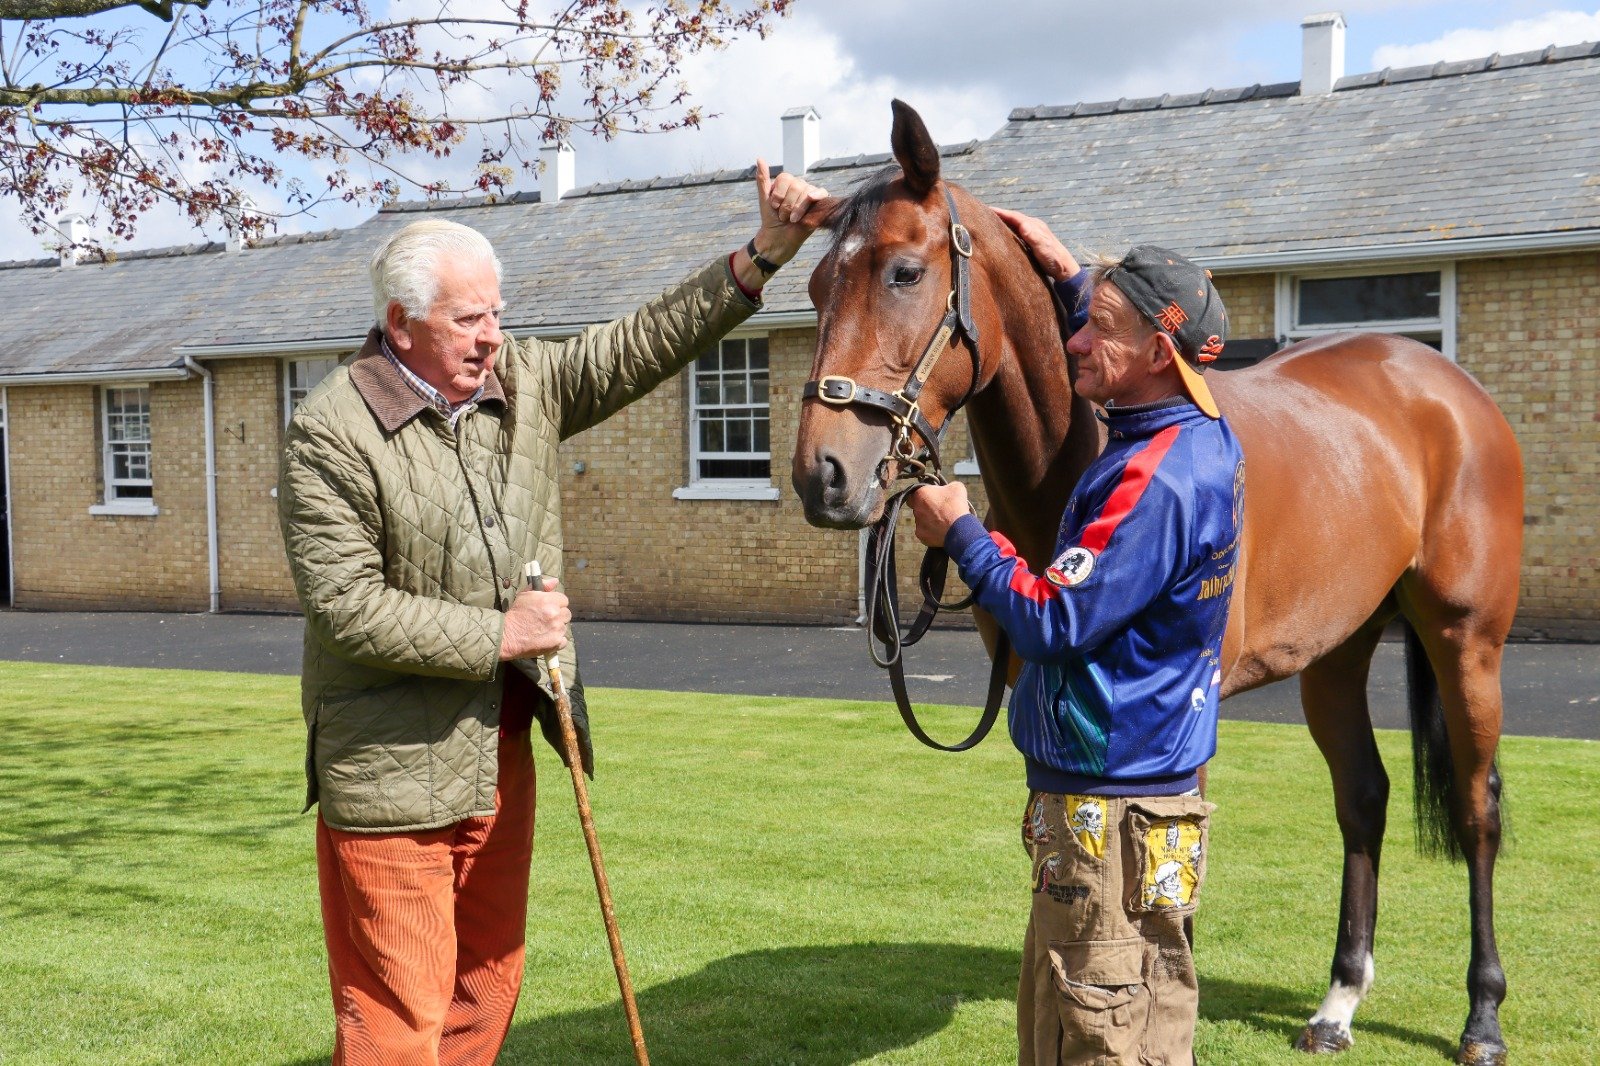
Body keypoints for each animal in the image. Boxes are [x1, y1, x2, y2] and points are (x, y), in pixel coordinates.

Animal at [793, 101, 1516, 1062]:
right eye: (813, 288)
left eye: (905, 271)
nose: (823, 475)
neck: (1104, 441)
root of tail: (1440, 378)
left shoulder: (1183, 747)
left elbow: (1170, 912)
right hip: (1337, 652)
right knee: (1364, 798)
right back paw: (1338, 1002)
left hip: (1466, 641)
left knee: (1476, 812)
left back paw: (1482, 1015)